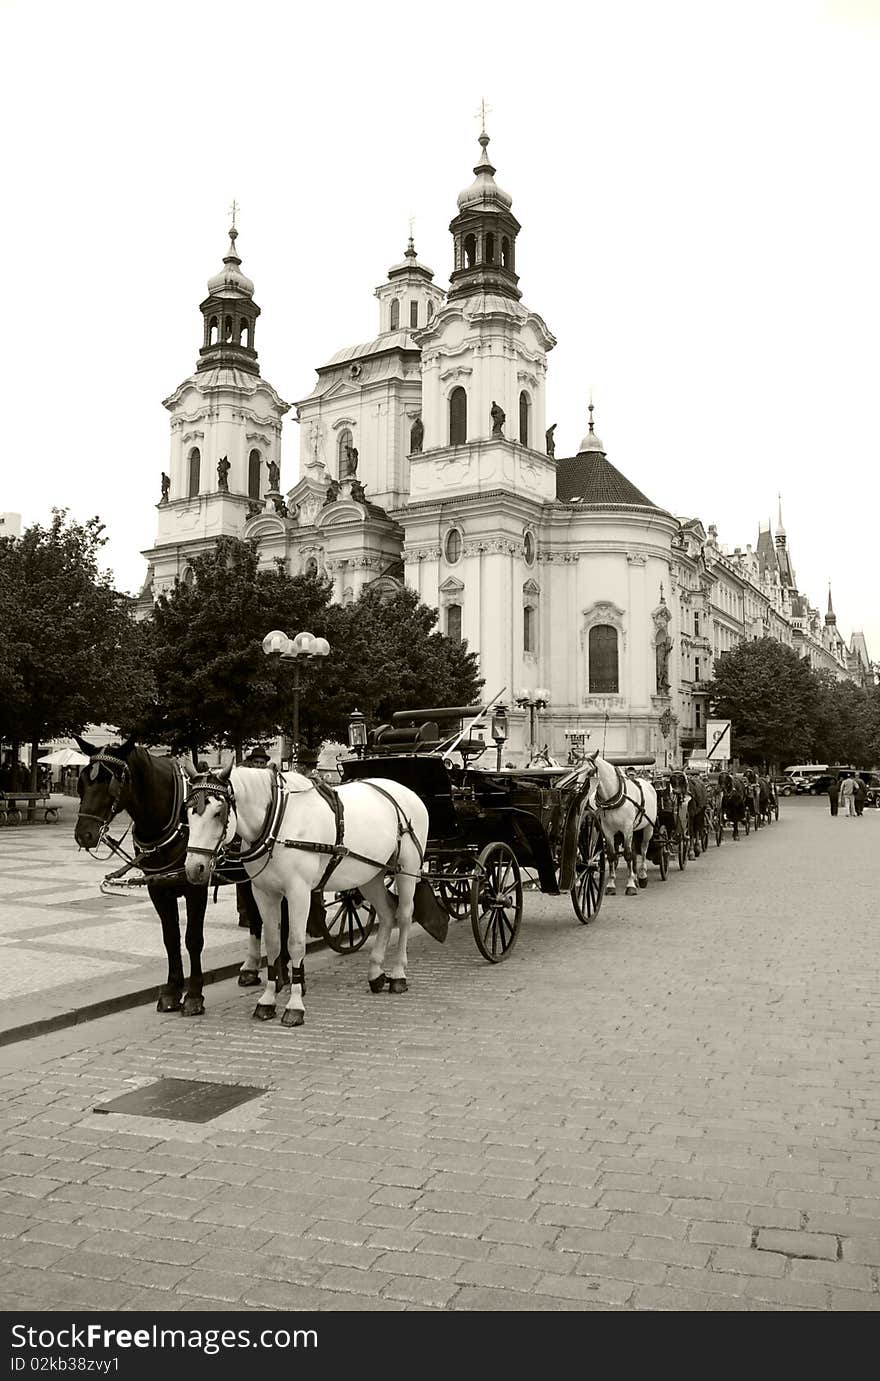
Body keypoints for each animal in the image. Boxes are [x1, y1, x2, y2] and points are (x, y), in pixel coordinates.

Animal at [185, 767, 428, 1027]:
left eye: (218, 813)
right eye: (187, 813)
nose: (194, 868)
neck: (277, 823)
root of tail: (405, 791)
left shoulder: (298, 892)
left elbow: (295, 944)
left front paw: (294, 1005)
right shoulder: (264, 893)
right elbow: (273, 944)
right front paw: (267, 1000)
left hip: (407, 869)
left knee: (404, 915)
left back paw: (398, 974)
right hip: (371, 874)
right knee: (387, 914)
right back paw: (376, 973)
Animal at [580, 756, 654, 894]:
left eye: (589, 771)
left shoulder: (626, 829)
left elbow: (628, 855)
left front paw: (630, 885)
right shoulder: (608, 830)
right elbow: (611, 855)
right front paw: (610, 885)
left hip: (648, 828)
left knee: (643, 849)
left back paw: (642, 876)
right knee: (634, 850)